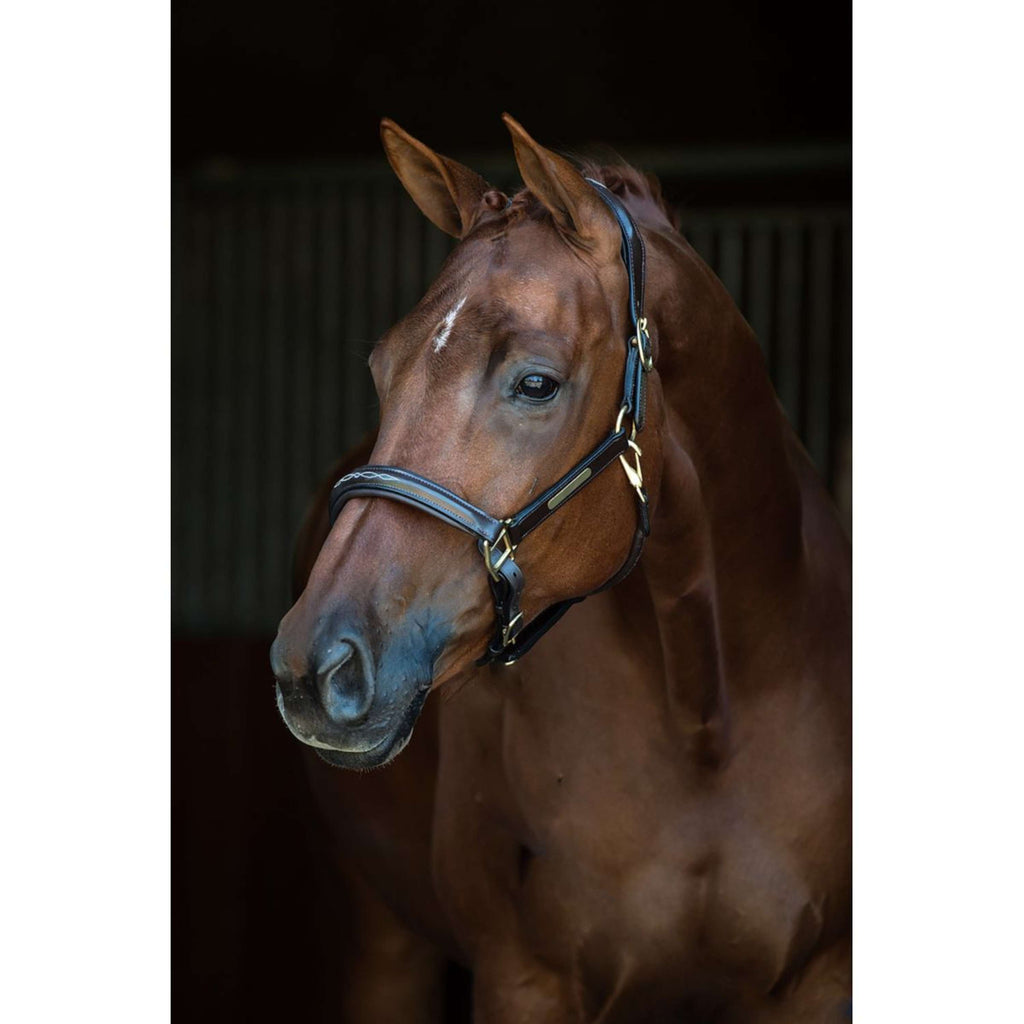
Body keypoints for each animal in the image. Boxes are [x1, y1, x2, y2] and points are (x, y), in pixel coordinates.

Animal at [271, 115, 851, 1022]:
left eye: (536, 382)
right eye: (382, 369)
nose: (312, 664)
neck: (708, 721)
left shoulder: (818, 982)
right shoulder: (525, 981)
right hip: (385, 938)